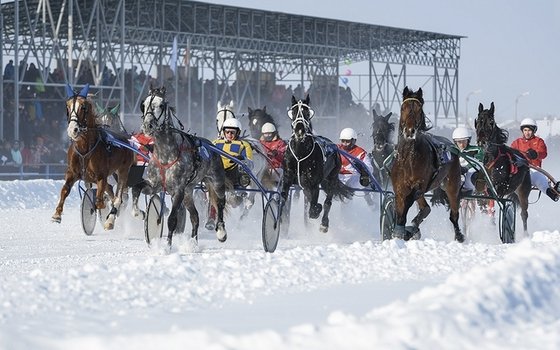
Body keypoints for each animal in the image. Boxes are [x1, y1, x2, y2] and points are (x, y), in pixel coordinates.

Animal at [52, 83, 136, 228]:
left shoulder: (101, 176)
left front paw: (104, 211)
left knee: (119, 196)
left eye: (83, 107)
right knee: (113, 193)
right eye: (68, 106)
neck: (85, 150)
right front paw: (57, 214)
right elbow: (65, 190)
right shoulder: (72, 173)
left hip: (123, 171)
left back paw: (111, 219)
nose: (72, 129)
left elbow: (100, 201)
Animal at [131, 86, 228, 247]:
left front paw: (167, 246)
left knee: (220, 203)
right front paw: (138, 212)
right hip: (188, 192)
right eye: (143, 105)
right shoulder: (154, 185)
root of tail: (212, 145)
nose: (147, 125)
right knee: (195, 217)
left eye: (161, 105)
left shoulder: (178, 191)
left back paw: (221, 231)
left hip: (216, 182)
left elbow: (172, 220)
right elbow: (136, 188)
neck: (166, 154)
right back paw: (193, 243)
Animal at [280, 95, 354, 232]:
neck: (300, 155)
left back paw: (324, 222)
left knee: (327, 202)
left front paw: (317, 210)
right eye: (293, 112)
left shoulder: (313, 184)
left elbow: (314, 208)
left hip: (331, 178)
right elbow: (283, 197)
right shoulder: (287, 180)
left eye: (307, 112)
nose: (299, 131)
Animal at [390, 86, 464, 242]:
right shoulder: (399, 187)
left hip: (452, 185)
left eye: (419, 109)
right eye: (403, 108)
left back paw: (459, 235)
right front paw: (400, 230)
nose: (410, 131)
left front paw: (402, 231)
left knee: (454, 213)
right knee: (426, 208)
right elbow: (400, 208)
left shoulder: (419, 185)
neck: (408, 158)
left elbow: (408, 201)